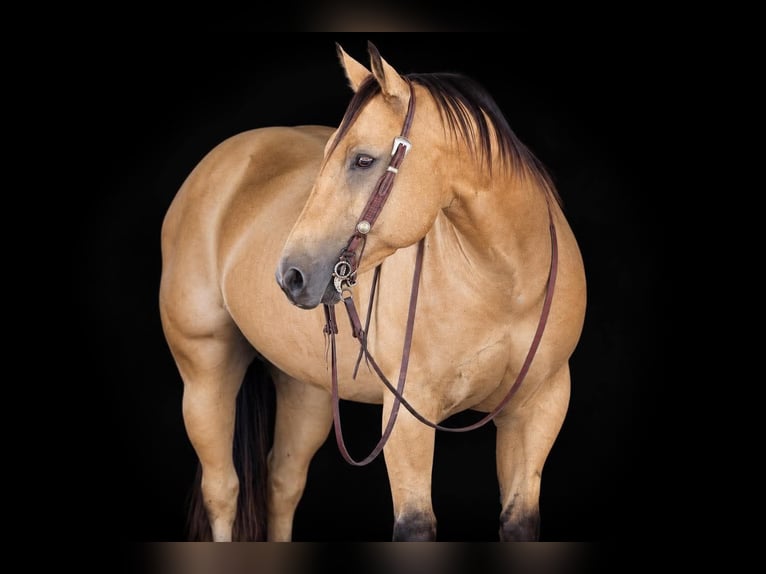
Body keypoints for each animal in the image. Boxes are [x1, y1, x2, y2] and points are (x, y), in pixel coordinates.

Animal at [159, 41, 586, 542]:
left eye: (363, 159)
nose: (291, 275)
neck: (507, 285)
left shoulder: (538, 408)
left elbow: (519, 522)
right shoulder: (407, 413)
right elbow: (415, 524)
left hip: (307, 387)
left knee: (283, 484)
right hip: (205, 372)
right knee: (224, 490)